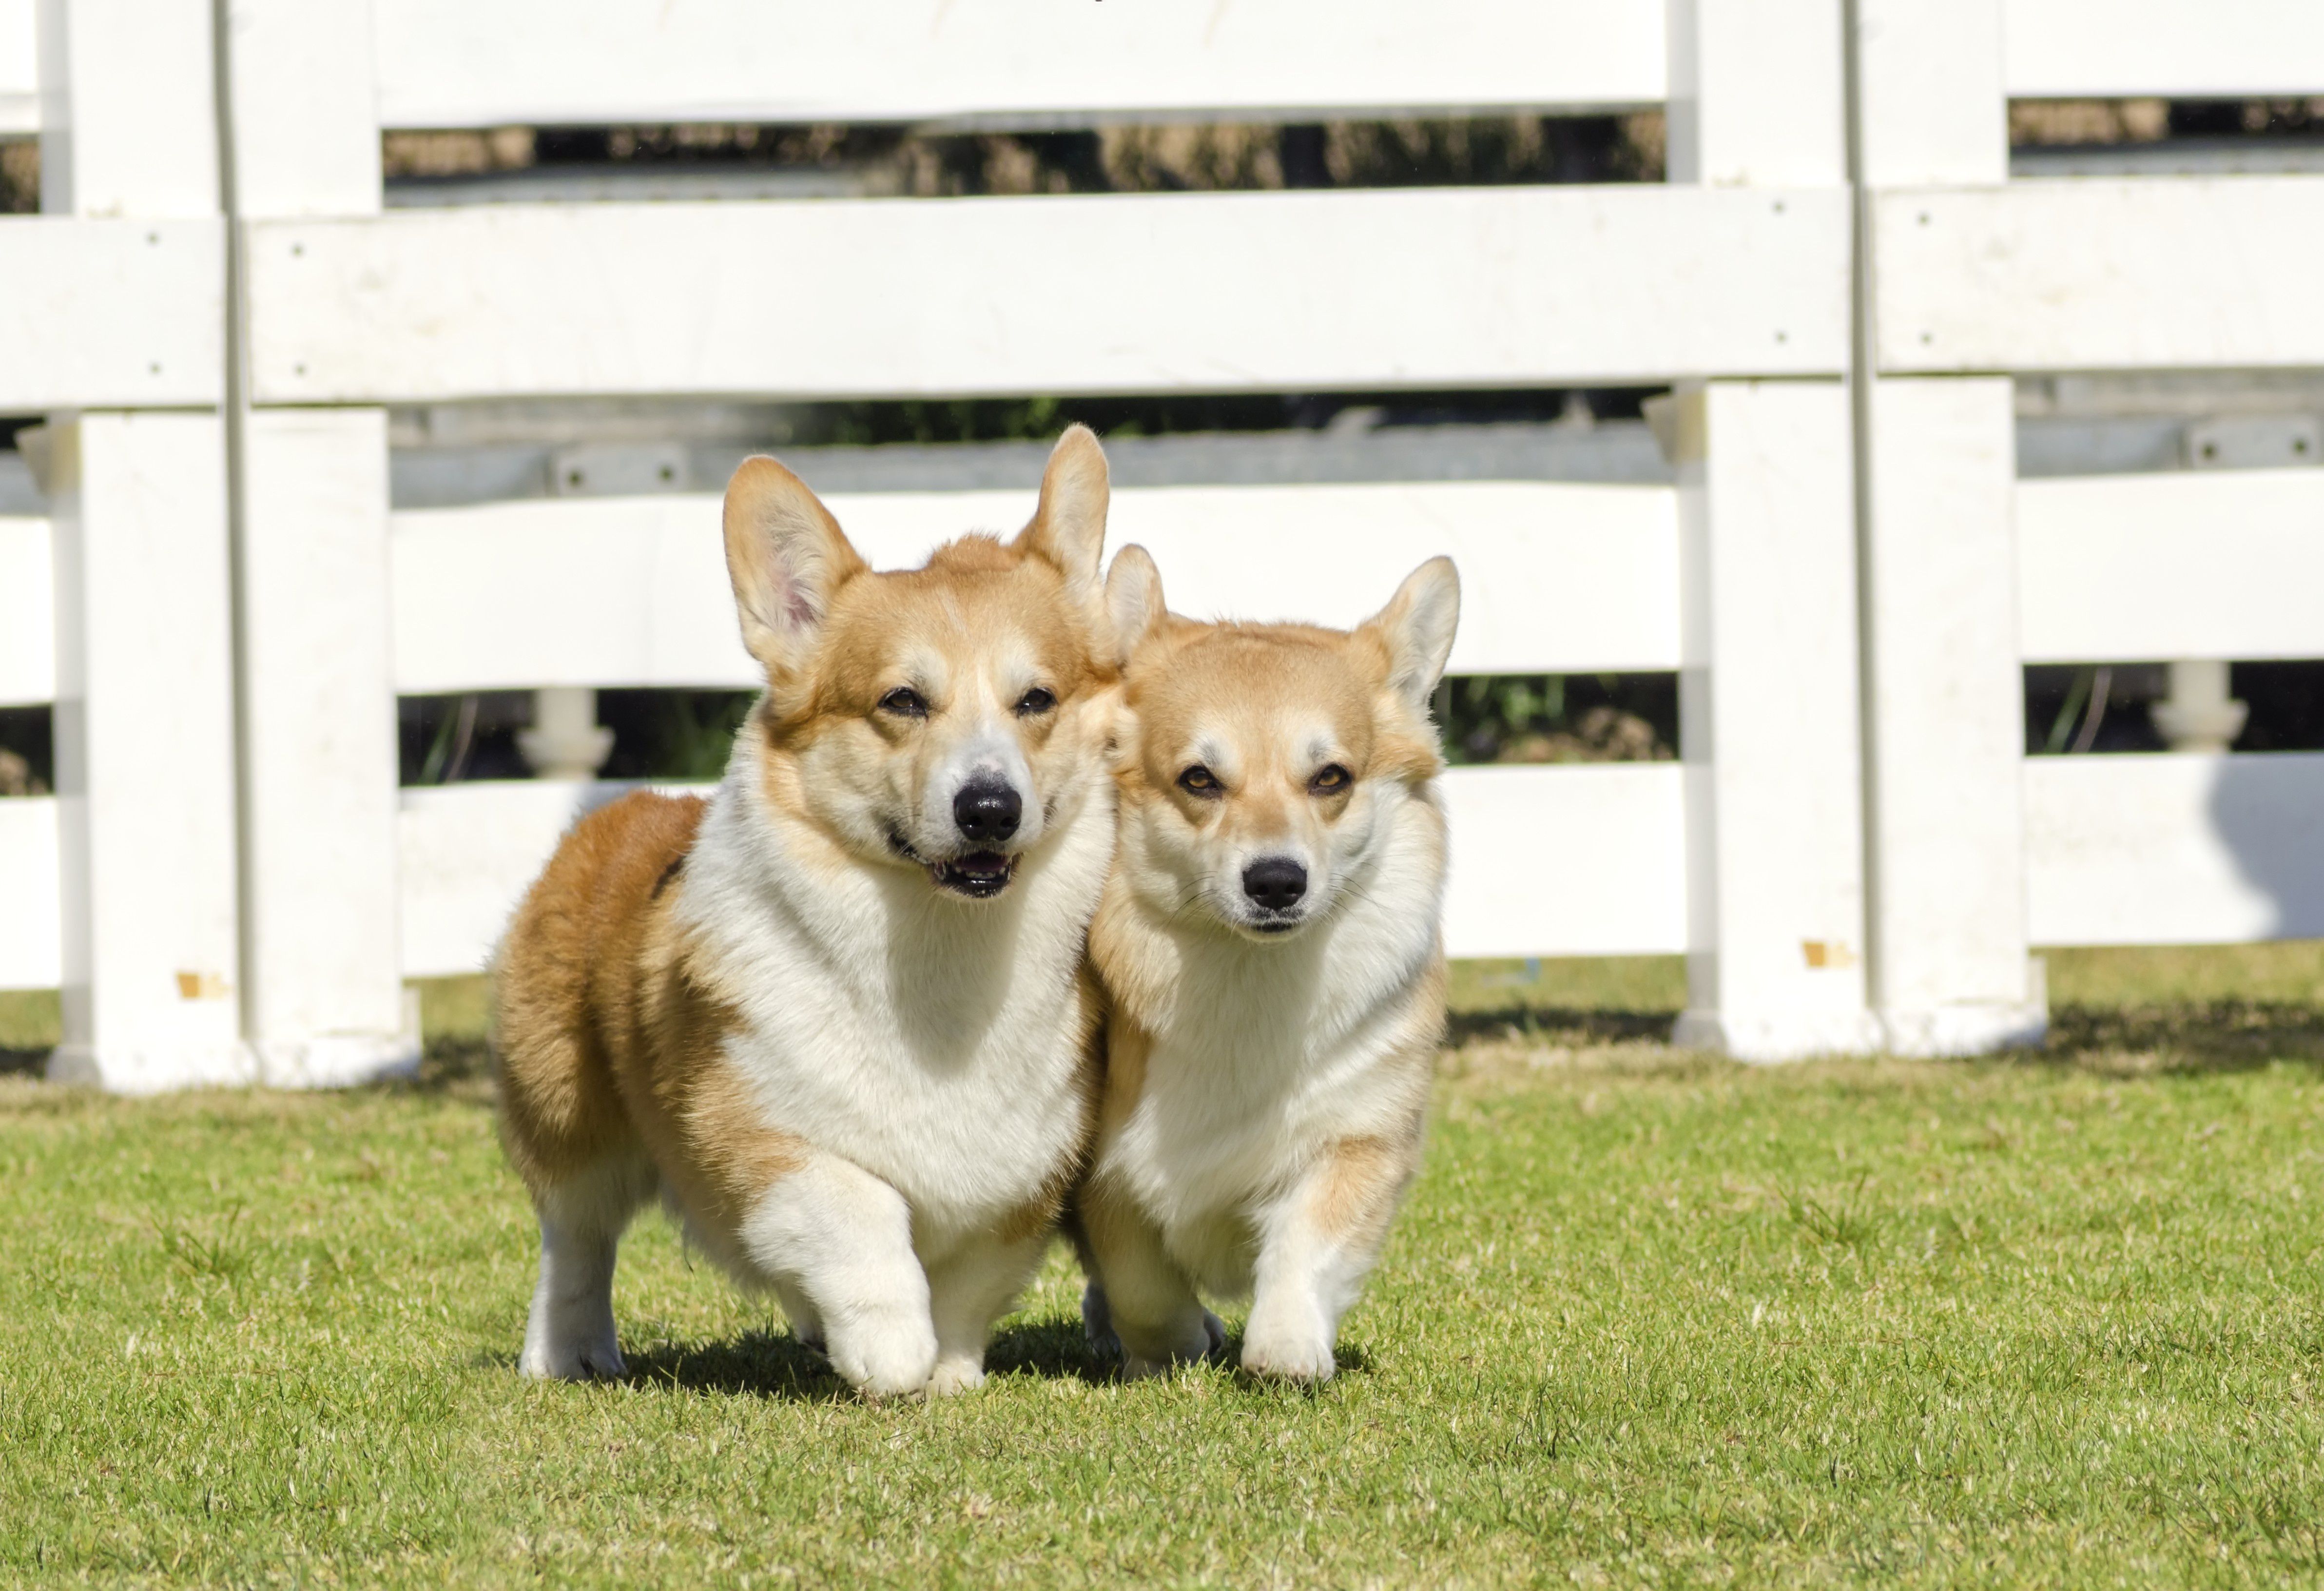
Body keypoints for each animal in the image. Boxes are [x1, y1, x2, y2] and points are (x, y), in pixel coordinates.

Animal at [500, 423, 1124, 1393]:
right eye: (902, 700)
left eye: (1036, 700)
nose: (989, 808)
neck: (941, 952)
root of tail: (619, 809)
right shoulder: (757, 1132)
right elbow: (860, 1212)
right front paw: (891, 1349)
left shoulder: (1022, 1174)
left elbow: (966, 1283)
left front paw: (946, 1369)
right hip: (566, 1109)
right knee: (575, 1240)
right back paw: (567, 1351)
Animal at [1078, 553, 1459, 1384]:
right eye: (1199, 779)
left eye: (1331, 778)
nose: (1277, 881)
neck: (1247, 974)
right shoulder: (1105, 1178)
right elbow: (1144, 1286)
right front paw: (1177, 1346)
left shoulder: (1356, 1136)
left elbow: (1307, 1245)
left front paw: (1286, 1347)